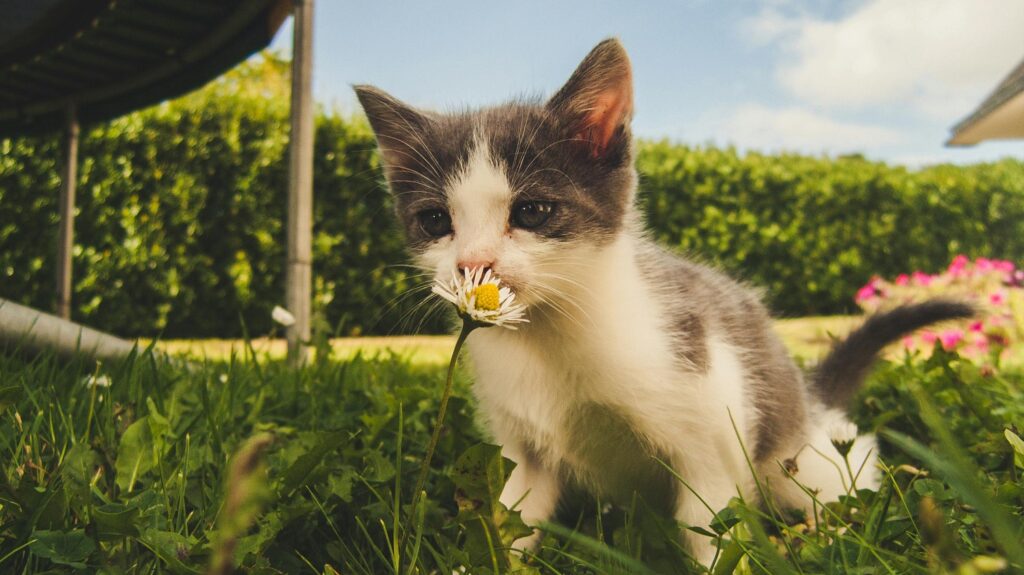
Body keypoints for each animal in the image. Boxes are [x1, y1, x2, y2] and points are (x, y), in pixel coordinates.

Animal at [356, 40, 970, 564]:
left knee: (844, 470)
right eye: (436, 220)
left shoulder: (712, 427)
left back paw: (828, 533)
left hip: (797, 456)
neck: (550, 336)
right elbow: (513, 519)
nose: (473, 264)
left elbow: (711, 531)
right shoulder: (522, 451)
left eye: (532, 211)